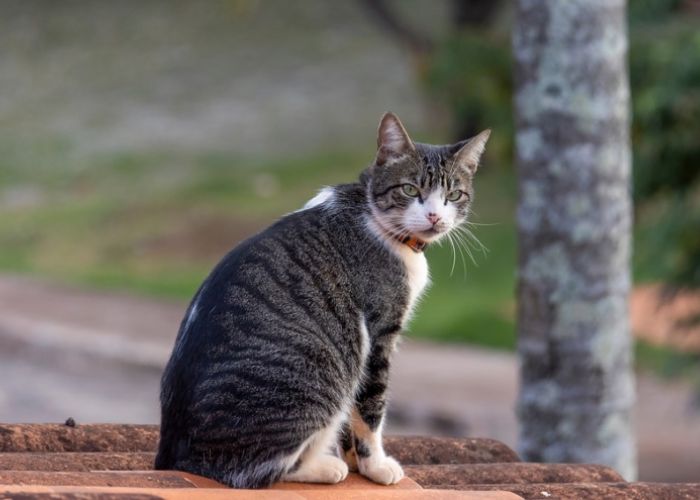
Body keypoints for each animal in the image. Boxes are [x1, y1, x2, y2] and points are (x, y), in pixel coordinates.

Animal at [155, 112, 490, 488]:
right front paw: (376, 465)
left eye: (454, 195)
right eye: (410, 189)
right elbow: (371, 409)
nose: (435, 216)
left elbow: (352, 417)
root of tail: (173, 456)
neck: (373, 215)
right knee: (255, 471)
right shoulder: (378, 333)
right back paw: (324, 467)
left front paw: (356, 460)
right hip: (317, 372)